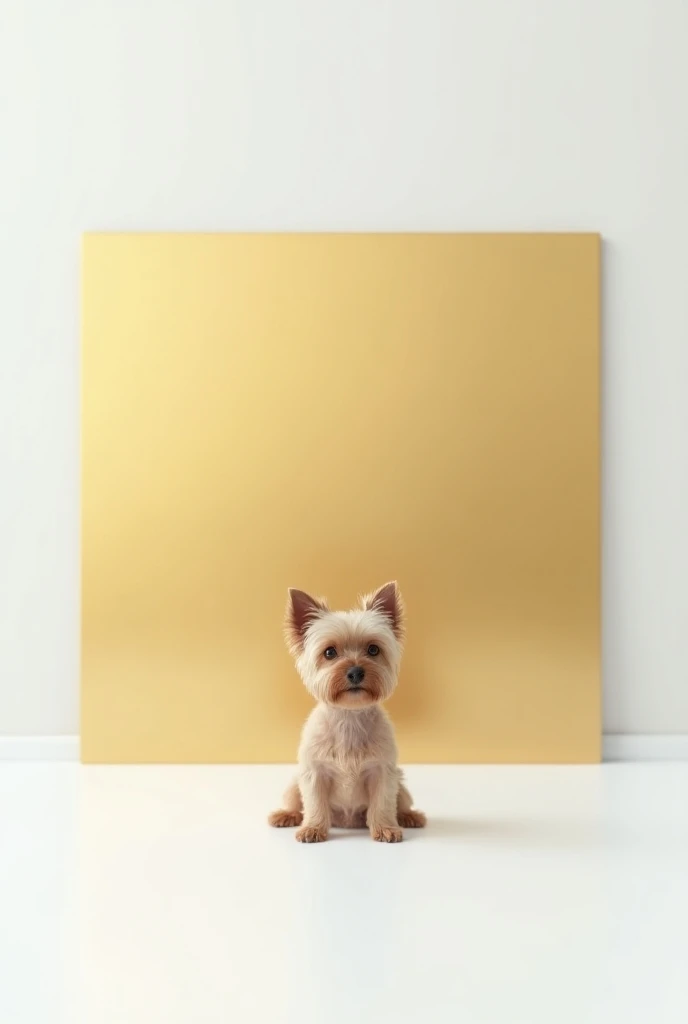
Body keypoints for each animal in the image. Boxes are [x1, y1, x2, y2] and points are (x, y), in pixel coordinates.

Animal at [268, 581, 423, 843]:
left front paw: (385, 828)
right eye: (329, 652)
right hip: (294, 782)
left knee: (400, 801)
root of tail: (347, 821)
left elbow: (383, 803)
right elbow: (314, 804)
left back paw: (408, 816)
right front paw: (313, 828)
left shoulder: (382, 772)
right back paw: (286, 815)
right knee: (294, 801)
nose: (355, 672)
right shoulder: (314, 773)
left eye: (373, 649)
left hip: (400, 782)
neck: (349, 716)